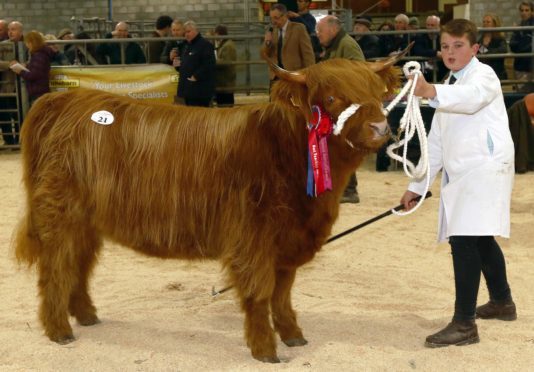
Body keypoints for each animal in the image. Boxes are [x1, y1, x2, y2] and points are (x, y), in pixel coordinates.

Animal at [14, 50, 404, 362]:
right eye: (334, 96)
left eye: (376, 93)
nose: (380, 127)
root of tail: (61, 101)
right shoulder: (253, 238)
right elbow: (260, 292)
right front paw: (265, 349)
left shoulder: (287, 241)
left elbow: (283, 293)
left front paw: (293, 335)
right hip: (60, 217)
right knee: (55, 269)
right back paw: (59, 330)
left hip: (86, 223)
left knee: (78, 266)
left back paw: (86, 316)